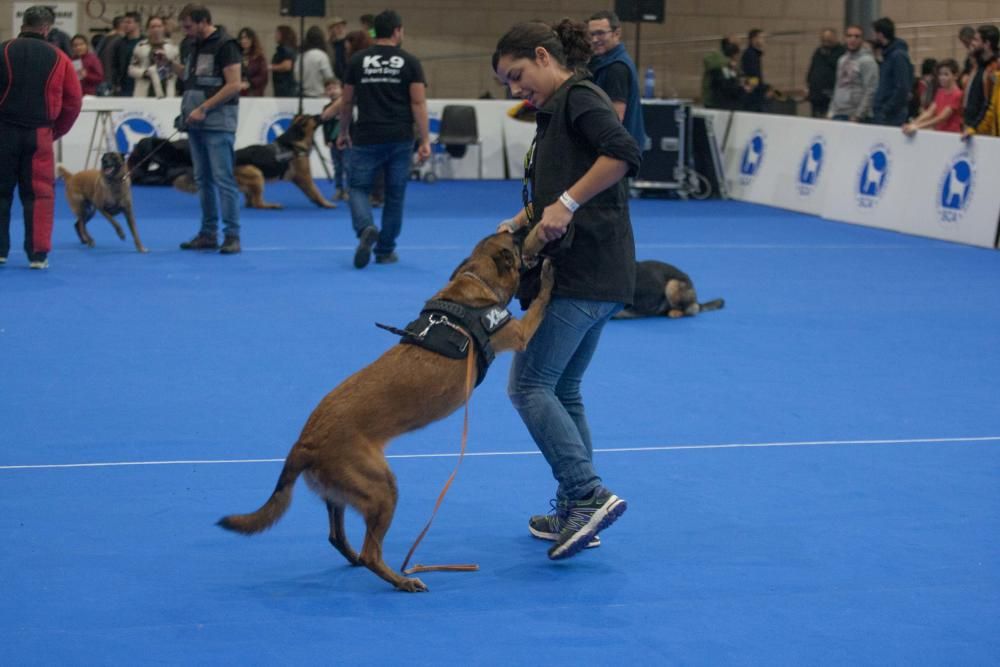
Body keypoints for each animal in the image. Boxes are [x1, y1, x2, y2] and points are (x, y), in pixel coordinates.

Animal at [174, 113, 338, 209]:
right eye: (313, 117)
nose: (322, 114)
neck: (296, 136)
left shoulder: (300, 179)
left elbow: (312, 193)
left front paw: (319, 203)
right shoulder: (304, 177)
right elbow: (316, 191)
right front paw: (325, 203)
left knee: (251, 201)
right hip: (256, 173)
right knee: (258, 203)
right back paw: (271, 205)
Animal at [218, 231, 556, 596]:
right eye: (517, 241)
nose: (527, 226)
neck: (474, 283)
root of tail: (305, 442)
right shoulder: (520, 334)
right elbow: (542, 302)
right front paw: (550, 276)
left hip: (343, 492)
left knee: (337, 536)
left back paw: (358, 560)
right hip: (383, 488)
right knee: (371, 553)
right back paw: (402, 580)